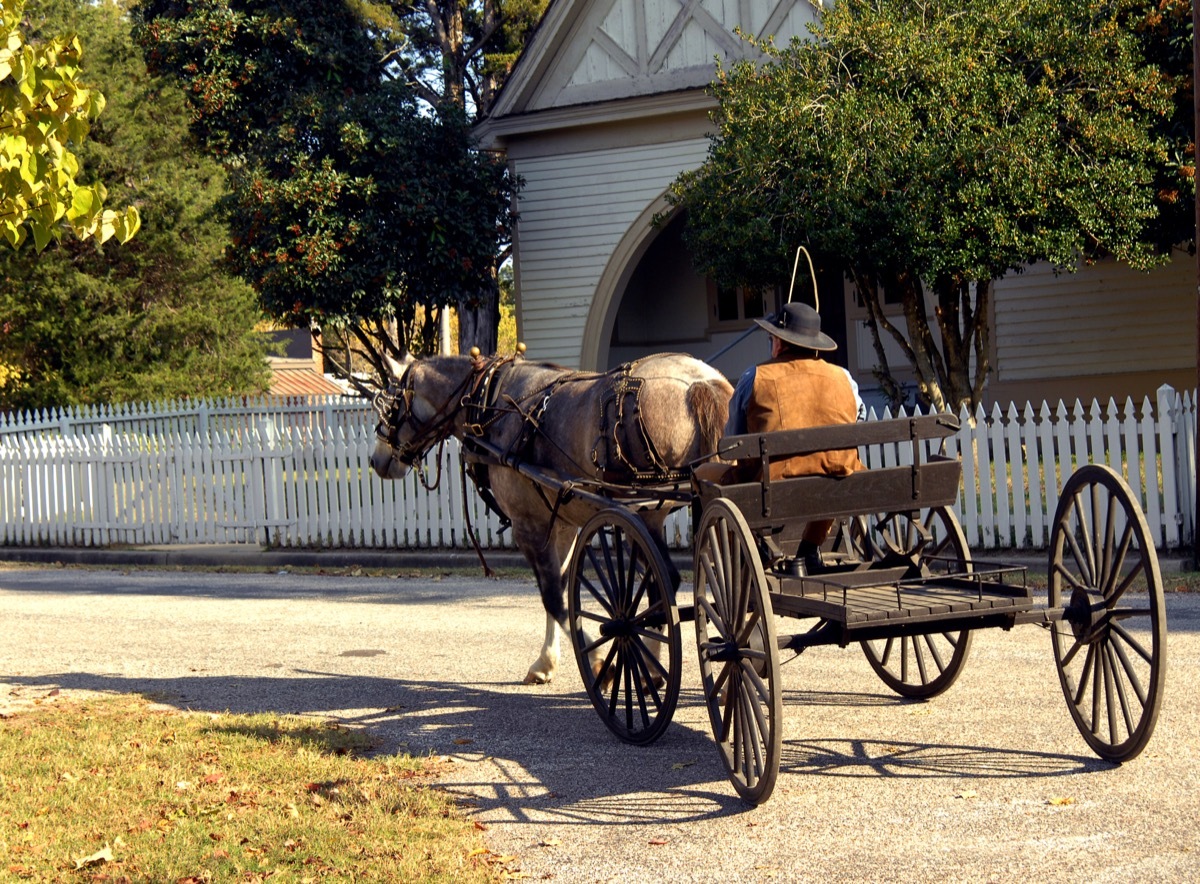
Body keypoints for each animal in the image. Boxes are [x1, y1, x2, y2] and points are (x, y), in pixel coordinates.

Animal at [374, 347, 729, 686]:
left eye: (389, 404)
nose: (376, 460)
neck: (490, 405)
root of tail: (701, 382)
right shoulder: (563, 524)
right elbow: (558, 587)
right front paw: (546, 663)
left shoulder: (529, 524)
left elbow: (554, 598)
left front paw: (595, 662)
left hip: (642, 516)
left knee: (663, 583)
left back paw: (653, 668)